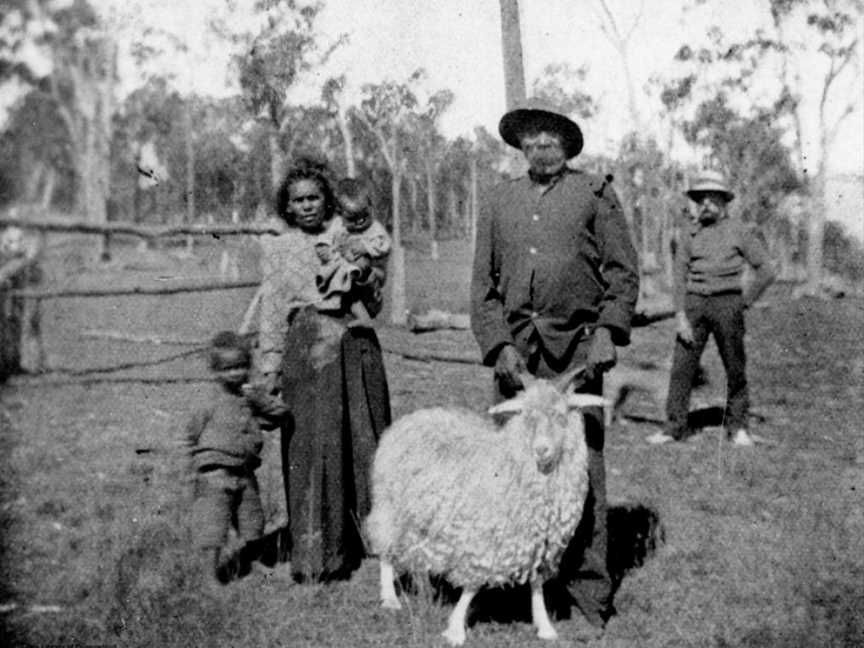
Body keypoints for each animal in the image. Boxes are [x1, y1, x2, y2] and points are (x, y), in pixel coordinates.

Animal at [364, 368, 608, 644]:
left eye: (560, 414)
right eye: (527, 415)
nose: (541, 449)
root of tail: (414, 416)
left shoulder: (539, 541)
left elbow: (536, 583)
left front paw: (544, 625)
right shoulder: (483, 537)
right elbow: (471, 585)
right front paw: (455, 629)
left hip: (424, 517)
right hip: (389, 505)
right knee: (386, 549)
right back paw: (389, 597)